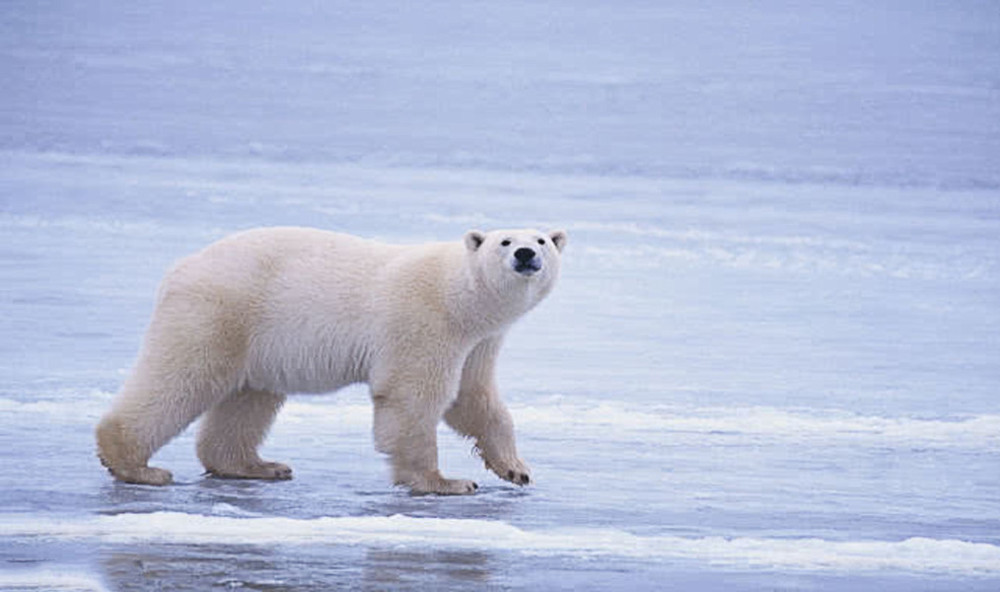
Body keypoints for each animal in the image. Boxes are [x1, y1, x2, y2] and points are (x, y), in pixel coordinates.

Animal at [96, 227, 568, 494]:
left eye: (541, 240)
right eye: (505, 241)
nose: (525, 255)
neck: (460, 297)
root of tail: (180, 267)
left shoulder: (478, 343)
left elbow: (475, 401)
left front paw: (516, 470)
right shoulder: (424, 323)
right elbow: (413, 399)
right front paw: (445, 482)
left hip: (257, 339)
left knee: (248, 399)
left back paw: (258, 466)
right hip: (220, 311)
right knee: (182, 376)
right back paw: (136, 466)